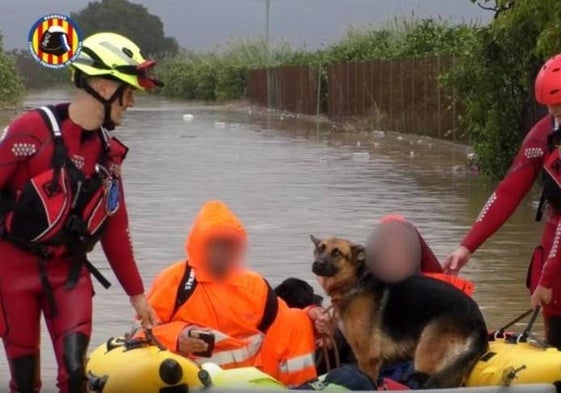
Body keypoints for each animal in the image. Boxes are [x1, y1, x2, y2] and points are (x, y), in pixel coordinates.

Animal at [308, 236, 488, 386]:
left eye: (337, 253)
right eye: (320, 249)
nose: (317, 264)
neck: (356, 282)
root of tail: (477, 318)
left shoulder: (368, 359)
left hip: (425, 359)